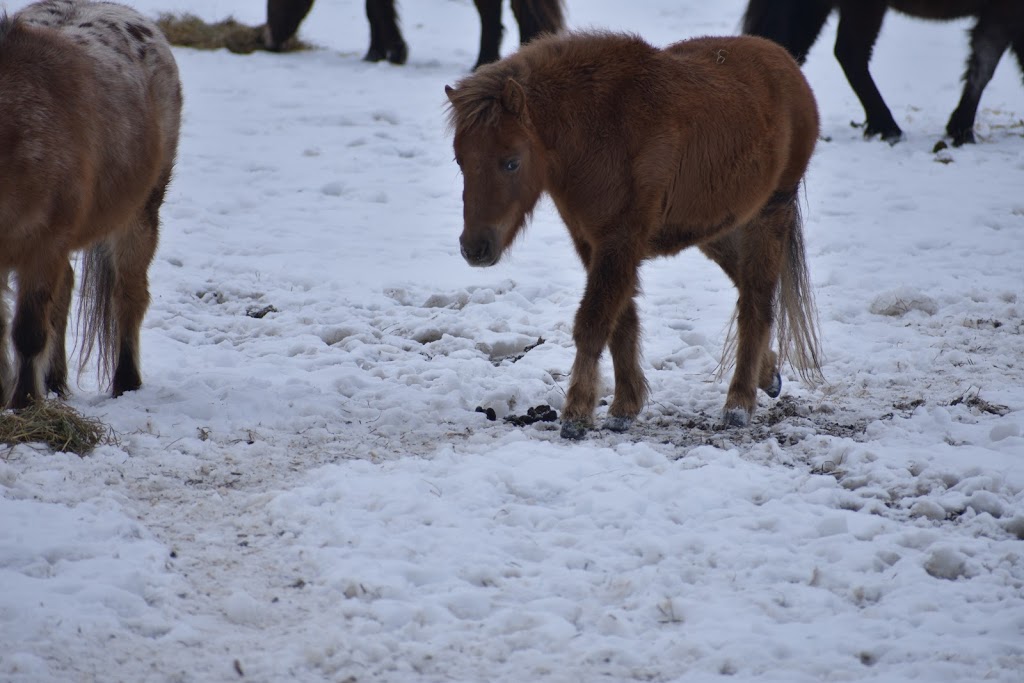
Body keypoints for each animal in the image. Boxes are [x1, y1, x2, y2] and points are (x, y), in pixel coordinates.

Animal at [0, 1, 182, 411]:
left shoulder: (43, 246)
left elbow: (28, 332)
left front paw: (25, 405)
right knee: (66, 288)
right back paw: (54, 381)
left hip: (140, 214)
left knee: (128, 296)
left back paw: (126, 382)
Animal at [446, 31, 823, 440]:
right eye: (460, 160)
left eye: (512, 162)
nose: (475, 248)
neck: (601, 130)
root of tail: (784, 61)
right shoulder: (593, 242)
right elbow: (621, 322)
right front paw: (624, 407)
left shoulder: (620, 241)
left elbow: (594, 322)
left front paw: (577, 413)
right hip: (717, 230)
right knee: (750, 291)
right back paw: (767, 375)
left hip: (768, 216)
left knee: (756, 301)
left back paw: (739, 404)